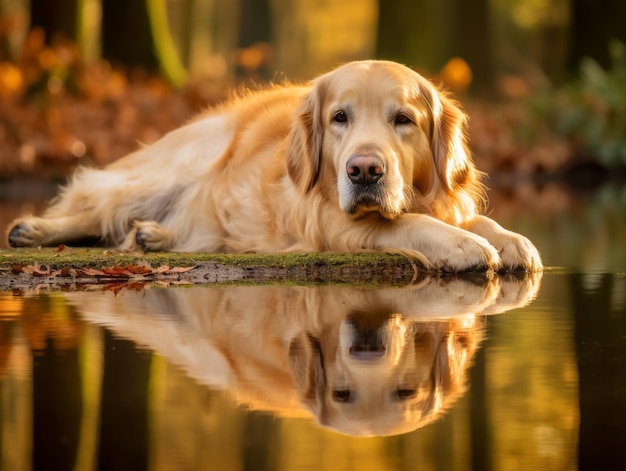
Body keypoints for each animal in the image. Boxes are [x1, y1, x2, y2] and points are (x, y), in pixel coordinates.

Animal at [6, 60, 540, 272]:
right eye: (339, 118)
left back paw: (154, 235)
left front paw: (511, 240)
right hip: (173, 168)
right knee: (95, 205)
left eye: (403, 120)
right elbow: (409, 223)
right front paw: (465, 245)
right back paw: (33, 229)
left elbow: (478, 219)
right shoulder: (332, 222)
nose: (364, 171)